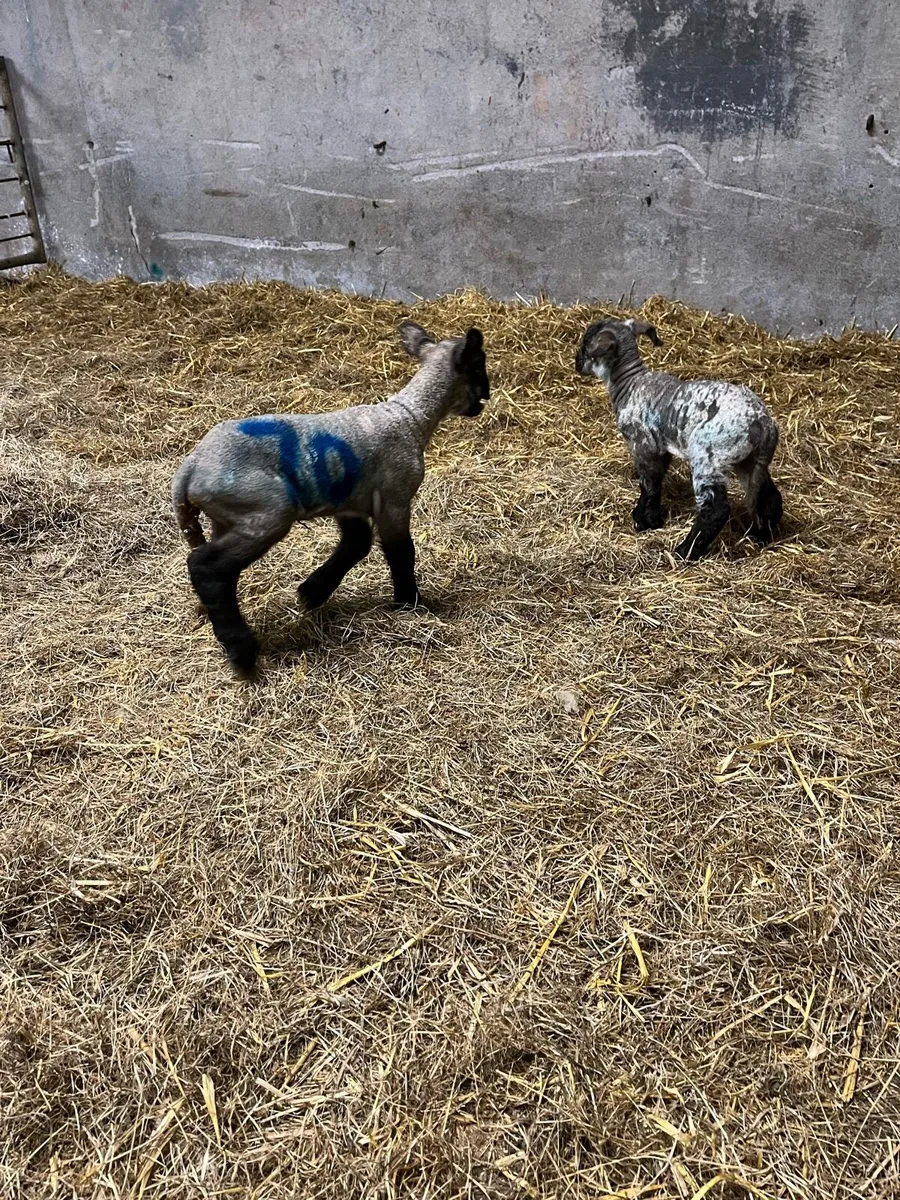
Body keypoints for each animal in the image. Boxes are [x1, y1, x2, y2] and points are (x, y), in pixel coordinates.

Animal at [171, 320, 489, 674]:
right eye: (479, 367)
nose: (485, 399)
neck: (411, 417)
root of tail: (190, 468)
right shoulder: (395, 497)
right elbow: (401, 552)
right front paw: (410, 604)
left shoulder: (351, 501)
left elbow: (356, 544)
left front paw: (312, 592)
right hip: (266, 511)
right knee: (206, 566)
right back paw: (242, 651)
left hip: (225, 517)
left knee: (215, 567)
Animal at [575, 317, 783, 560]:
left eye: (586, 343)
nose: (576, 362)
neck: (630, 383)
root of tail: (764, 424)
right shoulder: (661, 446)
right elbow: (655, 481)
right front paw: (643, 516)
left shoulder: (643, 444)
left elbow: (649, 484)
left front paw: (647, 522)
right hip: (749, 460)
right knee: (767, 497)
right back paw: (762, 536)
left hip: (707, 455)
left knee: (716, 510)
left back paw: (685, 551)